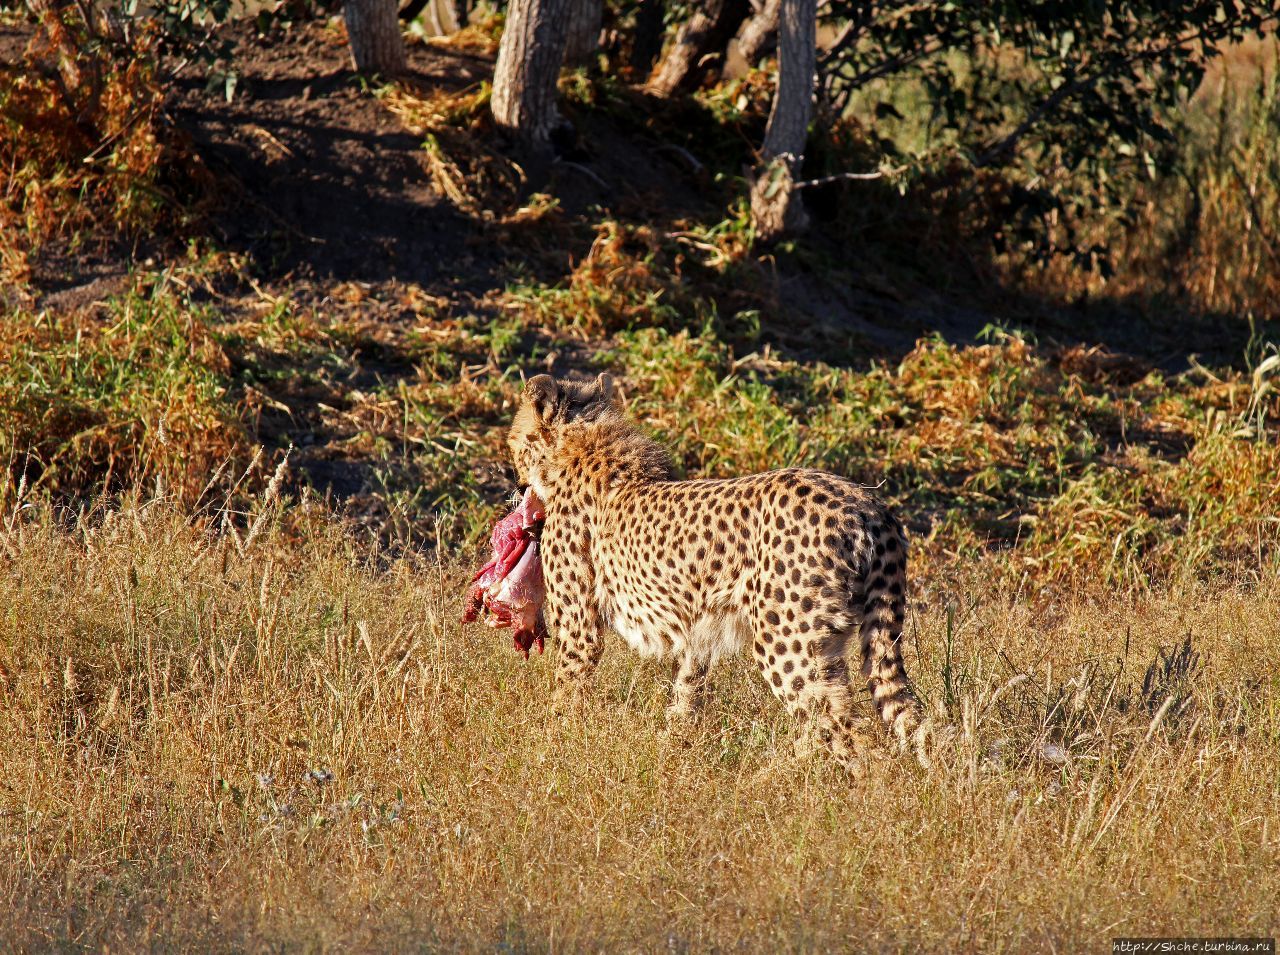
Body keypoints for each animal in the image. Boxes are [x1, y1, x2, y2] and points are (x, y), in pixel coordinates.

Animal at [506, 368, 931, 762]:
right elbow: (688, 688)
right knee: (888, 715)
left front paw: (553, 745)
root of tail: (868, 503)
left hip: (788, 642)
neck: (583, 447)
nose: (517, 484)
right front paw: (674, 748)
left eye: (513, 440)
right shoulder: (699, 629)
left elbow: (569, 685)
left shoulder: (580, 624)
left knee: (847, 730)